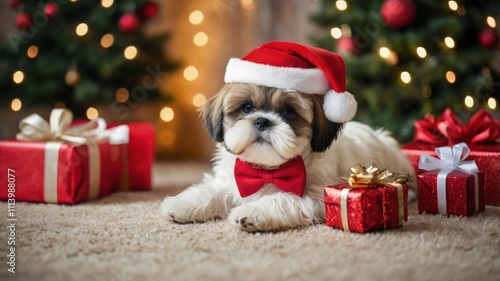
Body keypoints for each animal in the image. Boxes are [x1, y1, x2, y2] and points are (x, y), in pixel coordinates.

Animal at [160, 41, 414, 230]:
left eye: (289, 112)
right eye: (246, 108)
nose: (262, 120)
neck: (267, 171)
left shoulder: (315, 196)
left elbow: (278, 199)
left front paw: (251, 211)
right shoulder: (231, 180)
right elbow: (212, 190)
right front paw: (183, 203)